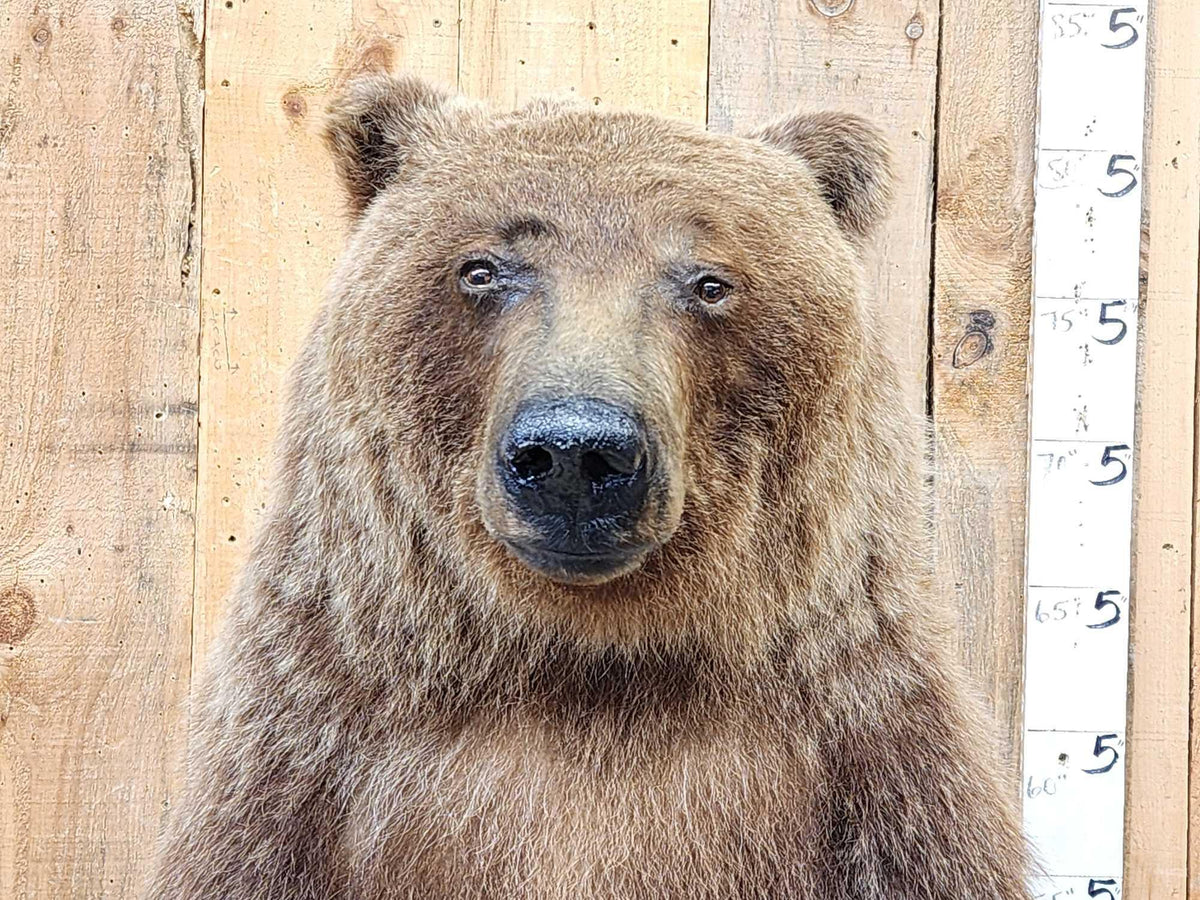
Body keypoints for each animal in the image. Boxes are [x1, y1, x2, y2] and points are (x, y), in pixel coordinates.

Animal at [148, 74, 1030, 899]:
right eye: (482, 267)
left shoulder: (875, 770)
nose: (577, 453)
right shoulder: (303, 768)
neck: (585, 661)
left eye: (710, 281)